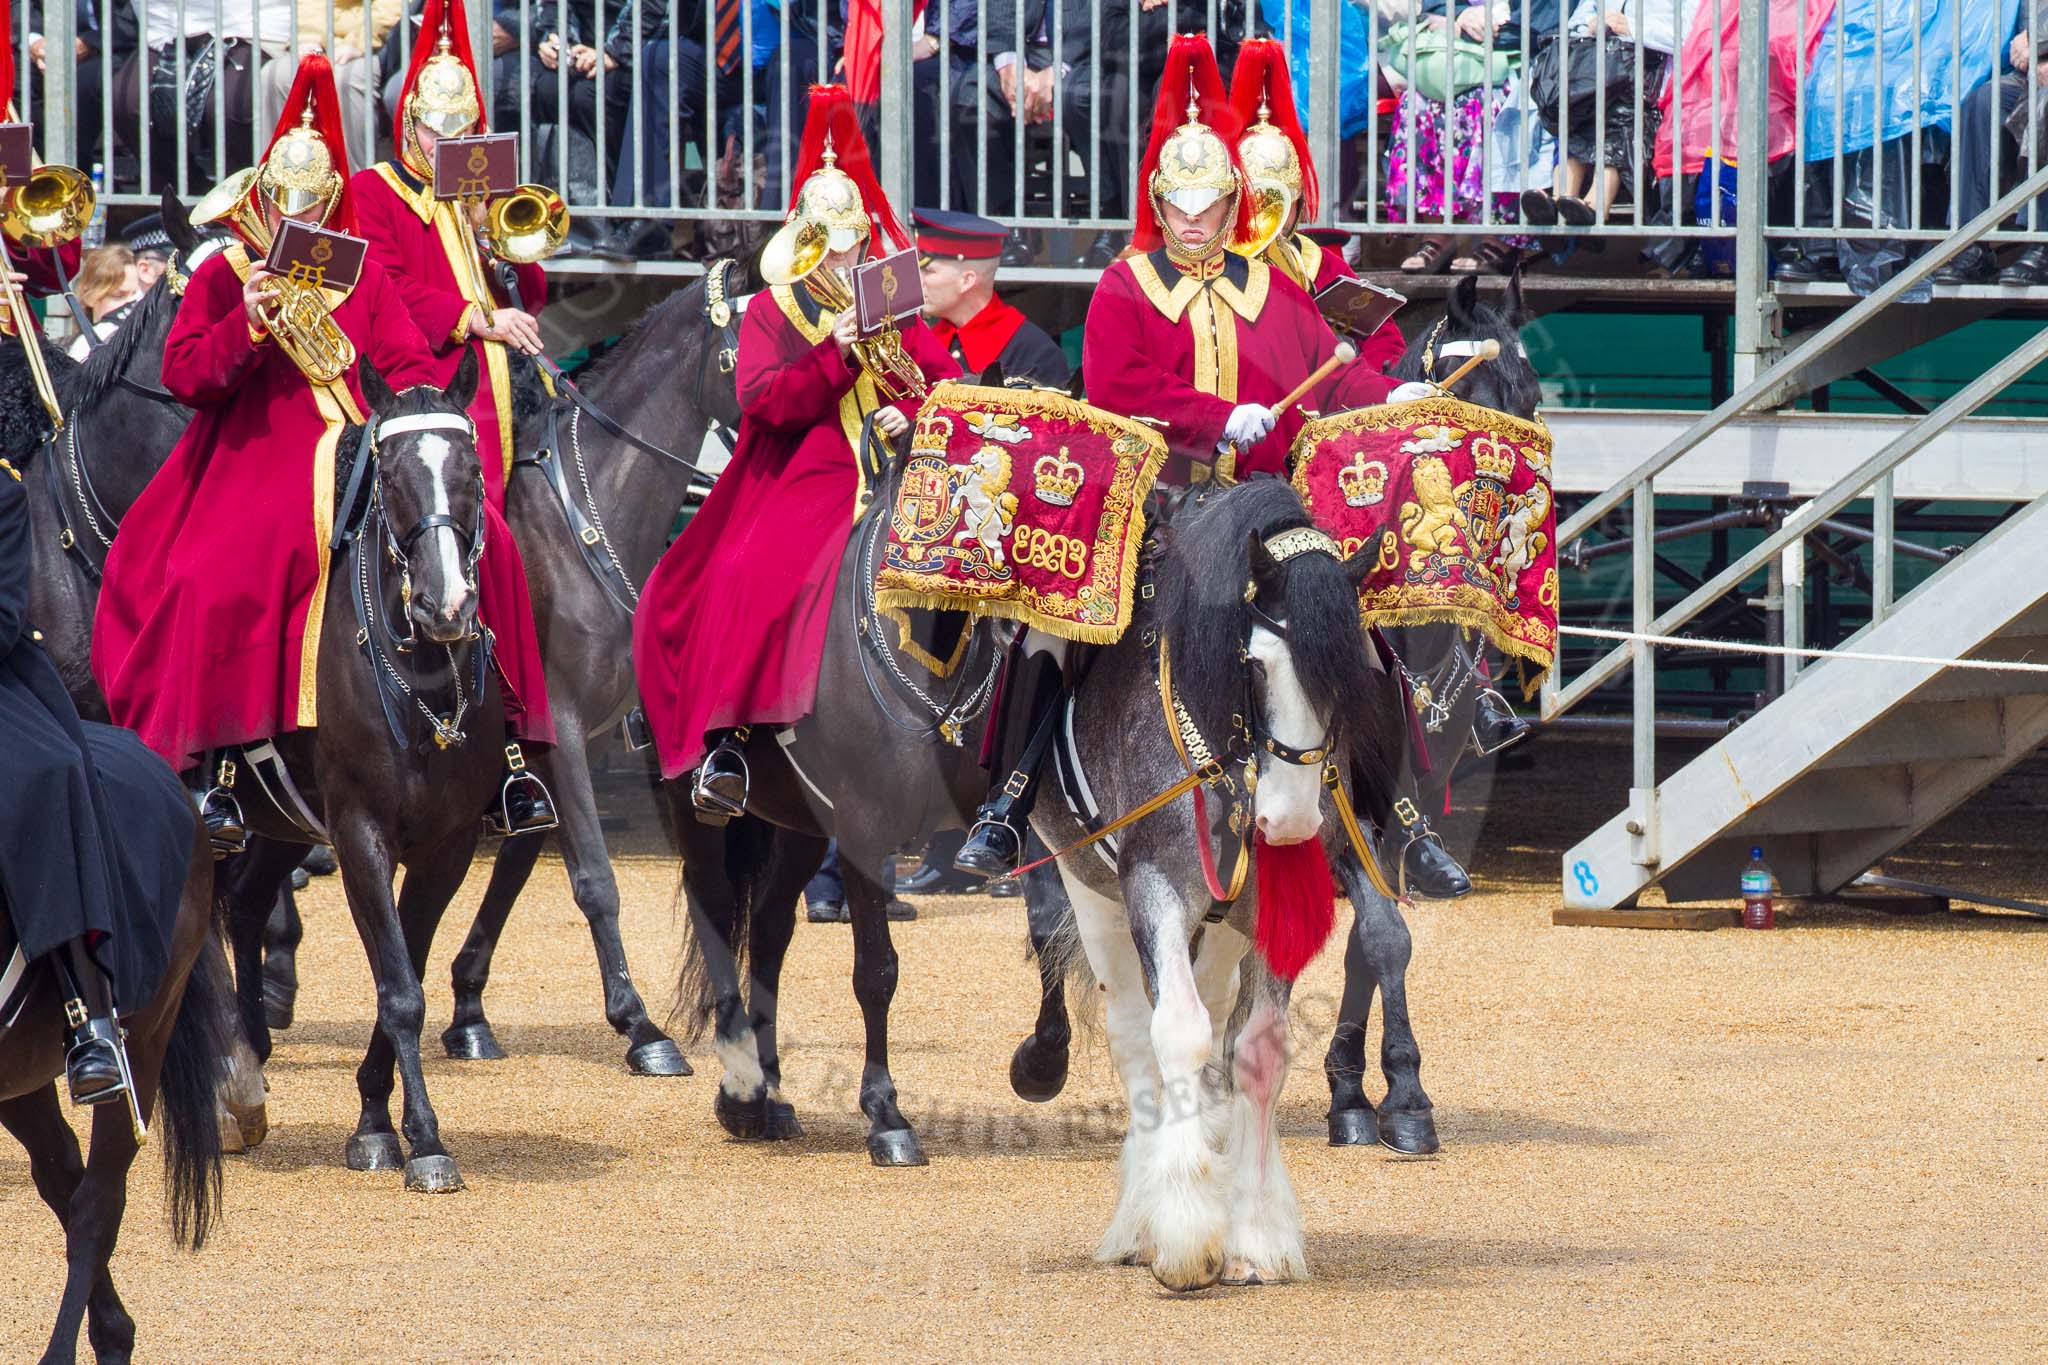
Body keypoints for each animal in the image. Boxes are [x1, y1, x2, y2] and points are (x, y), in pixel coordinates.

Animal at [213, 350, 507, 1193]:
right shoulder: (359, 833)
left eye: (472, 468)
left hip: (276, 818)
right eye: (396, 476)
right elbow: (399, 988)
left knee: (243, 903)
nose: (447, 606)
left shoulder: (445, 846)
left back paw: (248, 1067)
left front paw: (377, 1122)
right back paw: (219, 1082)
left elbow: (402, 973)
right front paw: (425, 1140)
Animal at [1027, 477, 1402, 1289]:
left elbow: (1257, 1052)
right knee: (1138, 1035)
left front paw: (1254, 1235)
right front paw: (1185, 1235)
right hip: (1091, 890)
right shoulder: (1153, 887)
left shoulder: (1269, 909)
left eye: (1353, 670)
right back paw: (1140, 1216)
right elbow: (1176, 1032)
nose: (1288, 820)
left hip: (1224, 927)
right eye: (1254, 666)